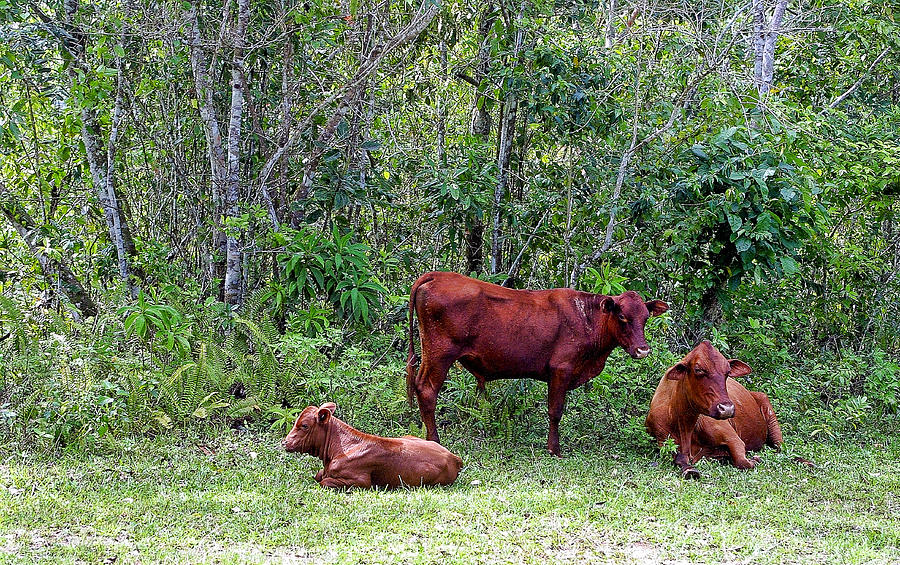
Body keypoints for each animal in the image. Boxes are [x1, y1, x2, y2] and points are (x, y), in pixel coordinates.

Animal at [282, 400, 464, 490]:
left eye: (304, 425)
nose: (285, 442)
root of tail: (454, 457)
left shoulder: (361, 482)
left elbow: (323, 482)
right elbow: (318, 475)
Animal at [408, 270, 668, 456]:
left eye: (646, 318)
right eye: (622, 317)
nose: (643, 349)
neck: (586, 317)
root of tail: (437, 275)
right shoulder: (561, 369)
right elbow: (555, 411)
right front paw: (554, 449)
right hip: (440, 354)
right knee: (427, 390)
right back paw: (435, 441)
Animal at [644, 342, 784, 478]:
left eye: (728, 372)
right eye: (698, 370)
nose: (727, 408)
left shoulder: (733, 439)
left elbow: (743, 462)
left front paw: (754, 459)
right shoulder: (662, 440)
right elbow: (680, 459)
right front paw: (689, 469)